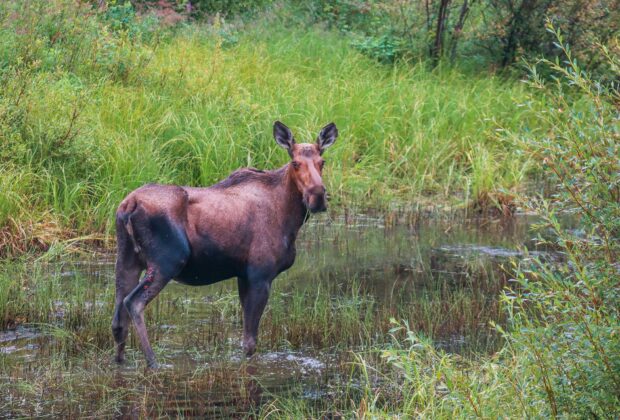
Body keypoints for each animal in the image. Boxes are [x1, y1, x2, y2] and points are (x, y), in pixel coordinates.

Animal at [114, 120, 342, 366]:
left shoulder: (243, 275)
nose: (317, 196)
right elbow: (250, 342)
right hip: (168, 260)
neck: (291, 217)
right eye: (295, 162)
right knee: (133, 303)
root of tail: (129, 205)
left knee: (118, 318)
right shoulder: (260, 275)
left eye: (322, 162)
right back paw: (153, 362)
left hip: (127, 259)